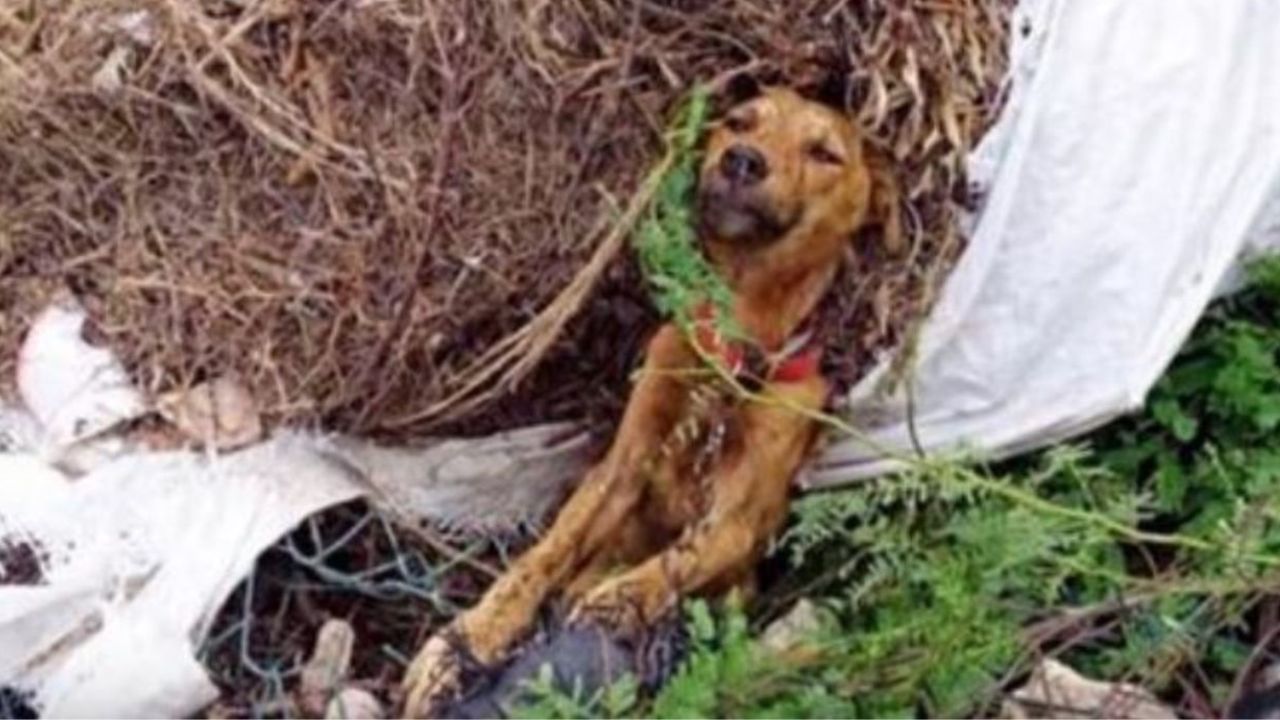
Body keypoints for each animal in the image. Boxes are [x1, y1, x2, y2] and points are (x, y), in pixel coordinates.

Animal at [399, 85, 901, 712]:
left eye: (824, 153)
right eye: (740, 121)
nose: (741, 160)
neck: (727, 350)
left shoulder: (741, 520)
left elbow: (679, 560)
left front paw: (617, 602)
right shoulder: (620, 467)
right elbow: (544, 555)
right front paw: (470, 636)